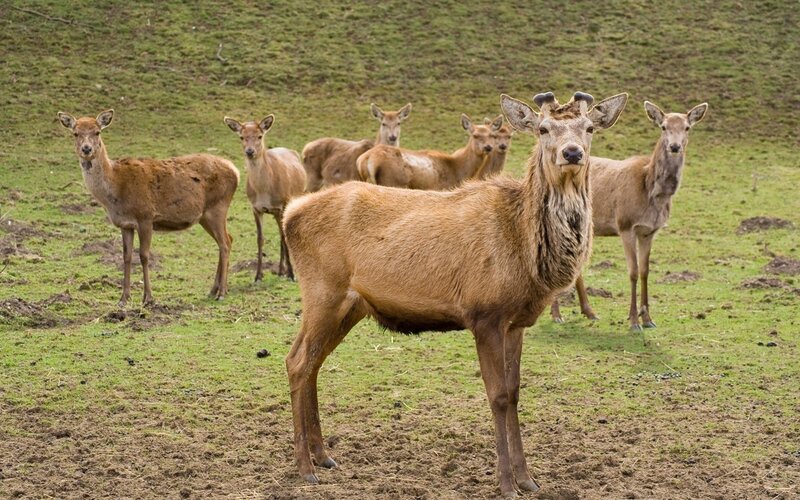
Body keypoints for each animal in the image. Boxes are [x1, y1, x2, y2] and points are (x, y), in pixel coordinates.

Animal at [57, 110, 239, 306]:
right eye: (75, 133)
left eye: (97, 132)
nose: (86, 149)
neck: (116, 190)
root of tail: (235, 171)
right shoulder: (125, 224)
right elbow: (126, 256)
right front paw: (124, 298)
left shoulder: (146, 216)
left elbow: (144, 256)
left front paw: (148, 298)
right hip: (205, 216)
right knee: (228, 239)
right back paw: (213, 290)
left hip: (218, 207)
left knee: (225, 243)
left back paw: (222, 292)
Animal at [224, 115, 306, 281]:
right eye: (241, 137)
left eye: (260, 136)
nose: (250, 151)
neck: (263, 192)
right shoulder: (255, 208)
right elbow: (260, 239)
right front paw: (258, 276)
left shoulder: (283, 204)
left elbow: (284, 238)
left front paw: (291, 274)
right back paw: (280, 271)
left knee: (283, 236)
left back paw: (285, 271)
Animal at [355, 114, 503, 190]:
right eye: (475, 135)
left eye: (492, 135)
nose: (488, 147)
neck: (458, 171)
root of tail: (365, 160)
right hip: (392, 181)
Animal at [550, 100, 708, 330]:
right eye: (663, 127)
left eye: (687, 127)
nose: (675, 146)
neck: (651, 192)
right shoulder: (625, 225)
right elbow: (632, 272)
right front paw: (633, 320)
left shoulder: (649, 231)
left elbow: (645, 271)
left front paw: (648, 319)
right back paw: (556, 314)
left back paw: (589, 312)